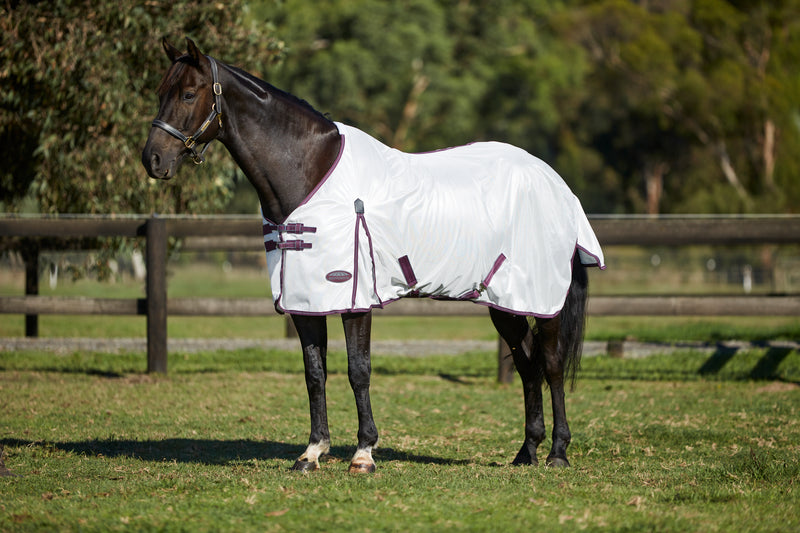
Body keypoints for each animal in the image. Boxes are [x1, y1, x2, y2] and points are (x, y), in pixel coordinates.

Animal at [142, 38, 605, 473]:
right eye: (160, 91)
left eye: (189, 93)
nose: (153, 159)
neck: (310, 171)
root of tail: (555, 183)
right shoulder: (305, 303)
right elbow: (314, 373)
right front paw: (312, 452)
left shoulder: (355, 299)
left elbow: (357, 370)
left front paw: (363, 453)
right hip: (502, 301)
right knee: (527, 364)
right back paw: (526, 452)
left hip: (542, 300)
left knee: (550, 363)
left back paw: (557, 453)